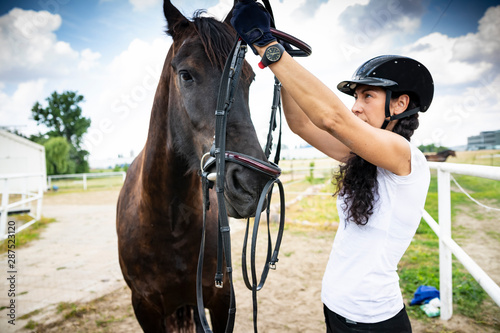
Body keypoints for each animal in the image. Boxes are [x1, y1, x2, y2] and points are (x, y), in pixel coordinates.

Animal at [115, 1, 272, 330]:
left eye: (249, 77)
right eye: (186, 75)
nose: (251, 185)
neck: (168, 224)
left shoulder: (221, 299)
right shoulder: (144, 308)